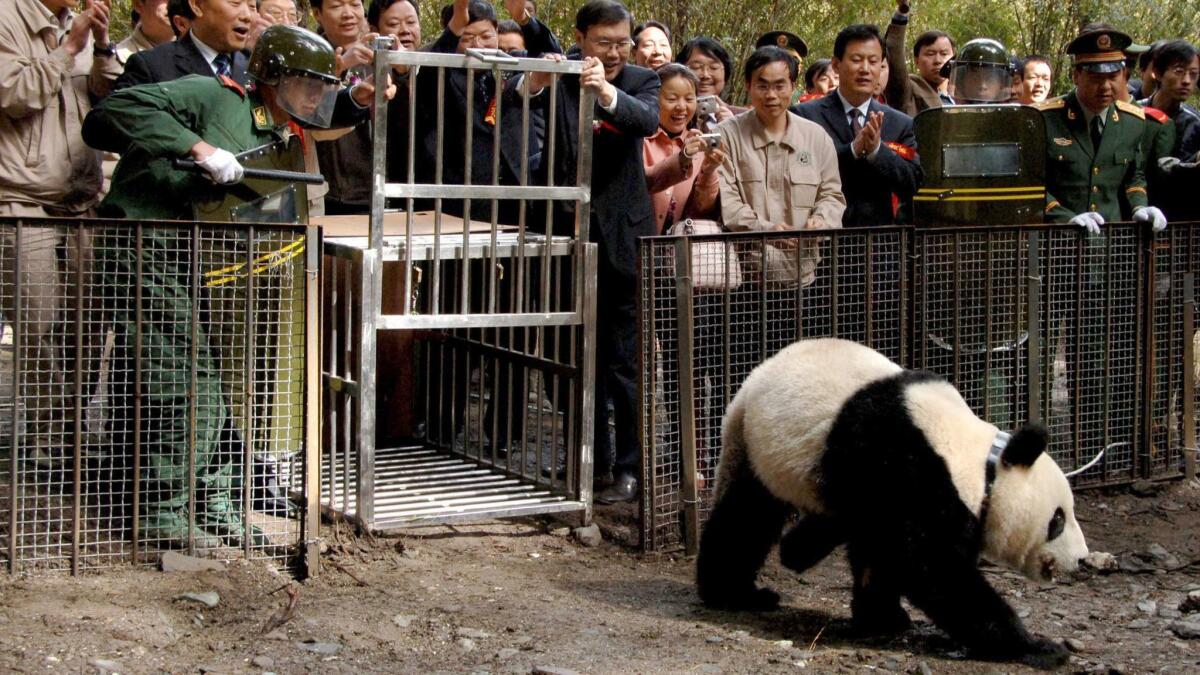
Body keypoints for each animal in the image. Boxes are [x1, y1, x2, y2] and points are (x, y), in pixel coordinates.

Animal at [700, 338, 1094, 662]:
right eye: (1058, 519)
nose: (1082, 559)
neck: (981, 464)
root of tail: (749, 384)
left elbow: (885, 554)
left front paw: (882, 617)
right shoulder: (905, 463)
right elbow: (931, 567)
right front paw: (1037, 646)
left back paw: (796, 550)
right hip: (761, 446)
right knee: (745, 517)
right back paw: (736, 594)